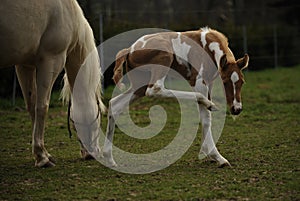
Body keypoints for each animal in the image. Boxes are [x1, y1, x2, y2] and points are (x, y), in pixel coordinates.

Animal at [0, 0, 105, 166]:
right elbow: (42, 107)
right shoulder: (52, 60)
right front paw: (42, 157)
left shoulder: (24, 65)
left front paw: (40, 153)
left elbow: (32, 106)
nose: (92, 154)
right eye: (99, 116)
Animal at [103, 27, 248, 167]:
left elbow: (207, 117)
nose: (236, 109)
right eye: (225, 82)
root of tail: (129, 50)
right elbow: (206, 118)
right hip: (164, 57)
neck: (208, 47)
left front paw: (207, 153)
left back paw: (109, 159)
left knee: (114, 105)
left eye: (242, 82)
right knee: (155, 89)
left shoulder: (209, 83)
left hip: (139, 86)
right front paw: (217, 157)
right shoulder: (199, 82)